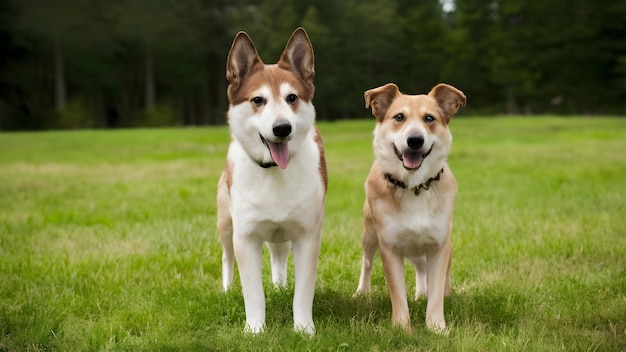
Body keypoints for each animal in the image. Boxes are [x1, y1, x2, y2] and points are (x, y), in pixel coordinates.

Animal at [216, 28, 326, 334]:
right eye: (258, 100)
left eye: (292, 98)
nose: (282, 128)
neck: (273, 171)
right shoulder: (245, 238)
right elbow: (253, 293)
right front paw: (254, 330)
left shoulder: (307, 235)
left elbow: (303, 292)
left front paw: (304, 330)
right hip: (225, 224)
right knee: (226, 256)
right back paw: (226, 289)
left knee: (278, 253)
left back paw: (279, 286)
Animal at [354, 83, 466, 332]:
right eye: (399, 117)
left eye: (429, 118)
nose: (415, 139)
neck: (414, 186)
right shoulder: (389, 246)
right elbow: (397, 292)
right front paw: (402, 328)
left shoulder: (440, 245)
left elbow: (436, 289)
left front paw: (437, 327)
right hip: (369, 234)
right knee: (367, 262)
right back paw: (362, 292)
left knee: (427, 271)